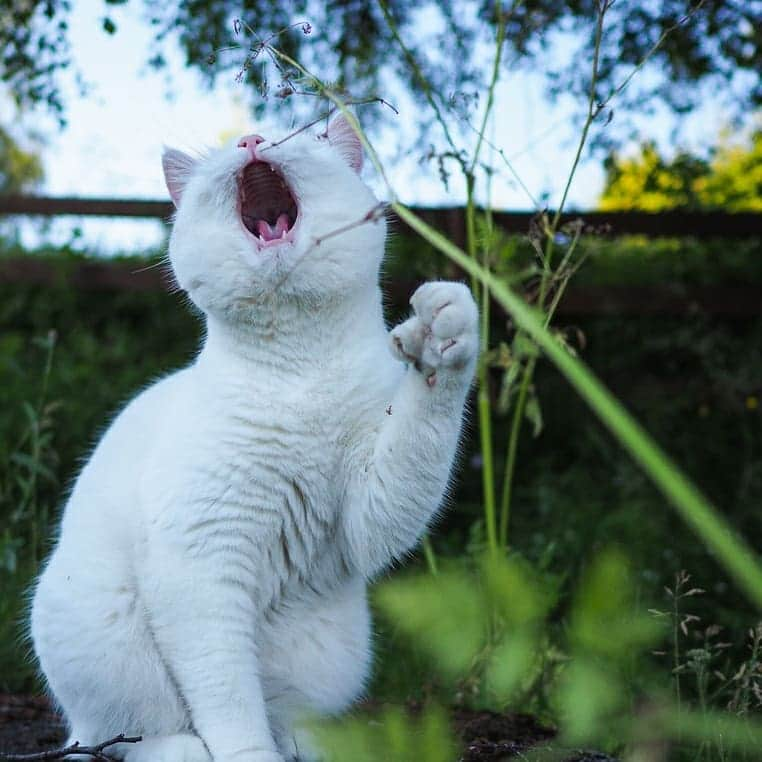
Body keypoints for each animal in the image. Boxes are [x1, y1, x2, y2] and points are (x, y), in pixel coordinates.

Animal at [32, 114, 478, 760]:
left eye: (304, 138)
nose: (250, 139)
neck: (299, 372)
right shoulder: (200, 566)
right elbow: (228, 701)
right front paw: (248, 754)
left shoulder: (371, 510)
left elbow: (425, 420)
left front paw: (442, 331)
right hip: (103, 636)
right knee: (130, 736)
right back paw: (182, 750)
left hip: (330, 649)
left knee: (287, 715)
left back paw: (319, 746)